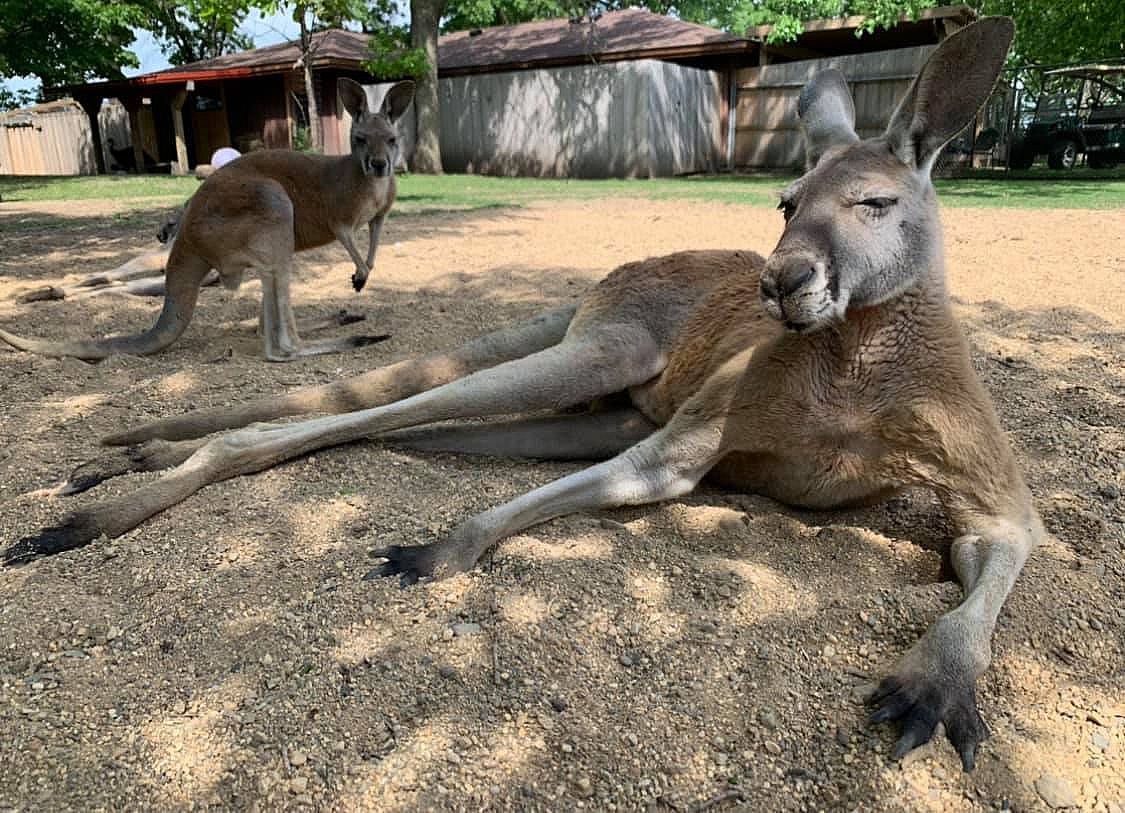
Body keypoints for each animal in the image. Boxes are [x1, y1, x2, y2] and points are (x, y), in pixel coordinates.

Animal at [0, 78, 414, 362]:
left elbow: (374, 238)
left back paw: (342, 317)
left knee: (264, 323)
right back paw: (350, 338)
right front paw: (360, 274)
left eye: (392, 140)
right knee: (279, 347)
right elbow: (347, 238)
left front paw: (365, 270)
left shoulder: (380, 214)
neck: (367, 182)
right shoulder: (337, 216)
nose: (380, 165)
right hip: (272, 210)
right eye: (359, 139)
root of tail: (185, 240)